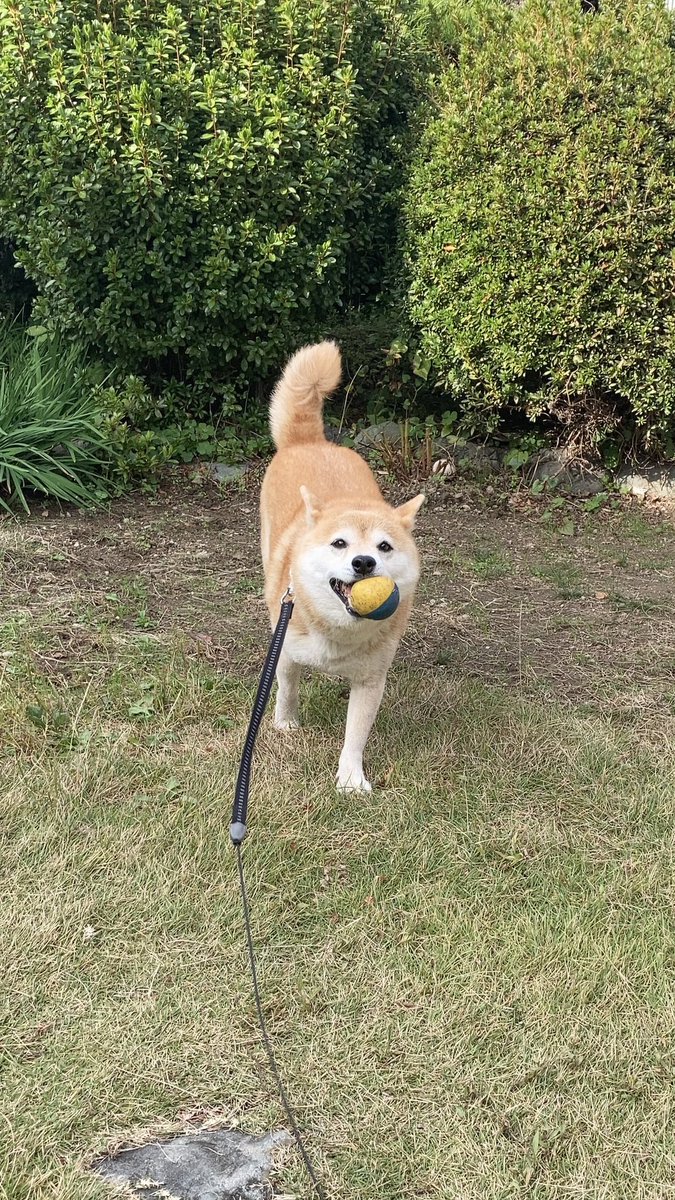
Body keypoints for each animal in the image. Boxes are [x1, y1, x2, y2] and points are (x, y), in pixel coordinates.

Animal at [257, 340, 420, 787]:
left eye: (384, 547)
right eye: (339, 543)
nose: (363, 563)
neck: (338, 634)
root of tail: (312, 442)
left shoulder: (370, 680)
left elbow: (356, 734)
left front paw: (350, 779)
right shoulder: (285, 650)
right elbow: (287, 689)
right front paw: (285, 724)